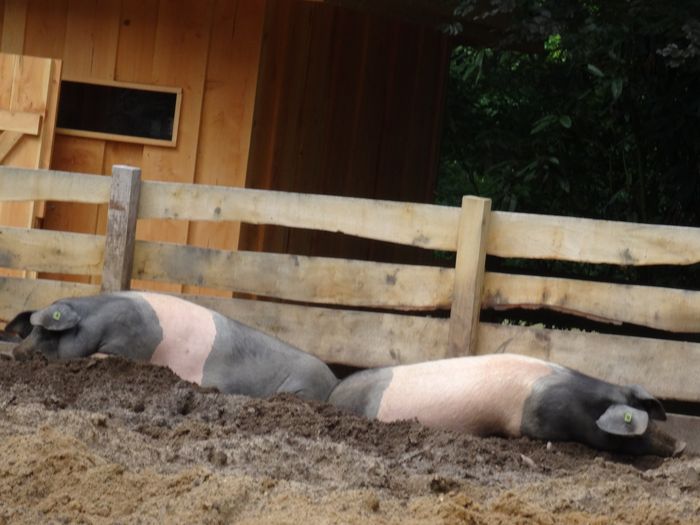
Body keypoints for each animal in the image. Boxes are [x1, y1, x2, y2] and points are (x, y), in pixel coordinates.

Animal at [4, 290, 340, 402]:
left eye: (47, 332)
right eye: (32, 329)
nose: (17, 352)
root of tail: (334, 381)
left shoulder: (129, 344)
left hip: (303, 387)